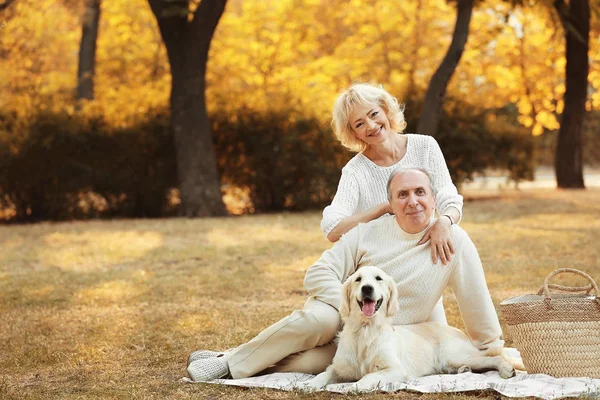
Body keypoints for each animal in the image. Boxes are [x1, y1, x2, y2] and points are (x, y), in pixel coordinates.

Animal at [302, 266, 524, 390]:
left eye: (378, 278)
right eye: (358, 279)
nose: (367, 288)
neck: (366, 329)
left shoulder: (395, 369)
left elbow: (370, 375)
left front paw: (356, 386)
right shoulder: (338, 367)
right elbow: (324, 373)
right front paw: (309, 384)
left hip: (455, 353)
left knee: (493, 357)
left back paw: (506, 368)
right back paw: (463, 370)